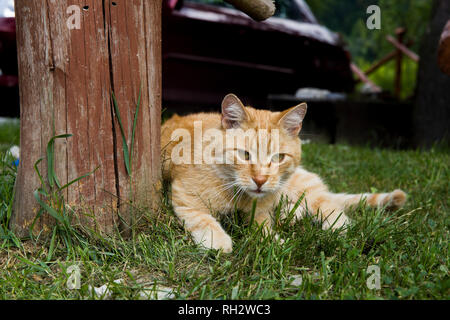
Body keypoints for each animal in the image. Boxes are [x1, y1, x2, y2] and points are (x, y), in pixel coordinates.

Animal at [160, 93, 406, 252]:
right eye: (245, 155)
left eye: (278, 157)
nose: (260, 180)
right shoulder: (185, 197)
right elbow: (203, 219)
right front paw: (217, 240)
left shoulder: (261, 211)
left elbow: (263, 227)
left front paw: (273, 242)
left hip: (304, 189)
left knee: (332, 208)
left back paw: (334, 229)